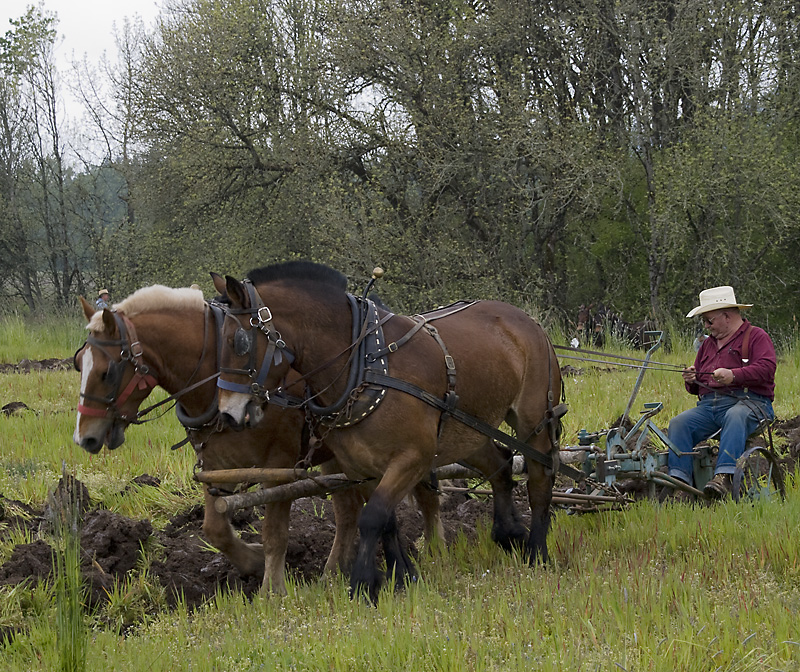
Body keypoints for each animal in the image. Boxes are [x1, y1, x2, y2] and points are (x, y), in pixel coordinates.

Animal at [71, 284, 440, 592]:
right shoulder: (215, 465)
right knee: (348, 510)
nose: (83, 438)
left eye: (107, 372)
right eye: (78, 363)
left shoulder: (278, 465)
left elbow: (275, 533)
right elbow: (215, 530)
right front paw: (253, 560)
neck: (215, 374)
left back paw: (435, 551)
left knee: (421, 496)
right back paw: (333, 572)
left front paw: (271, 589)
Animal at [214, 262, 564, 600]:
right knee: (501, 465)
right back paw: (509, 534)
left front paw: (362, 583)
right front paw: (402, 576)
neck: (363, 365)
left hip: (533, 421)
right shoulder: (361, 466)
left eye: (239, 342)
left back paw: (537, 551)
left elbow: (372, 517)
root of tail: (527, 321)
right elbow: (386, 521)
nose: (229, 413)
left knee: (539, 481)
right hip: (468, 432)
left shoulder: (413, 458)